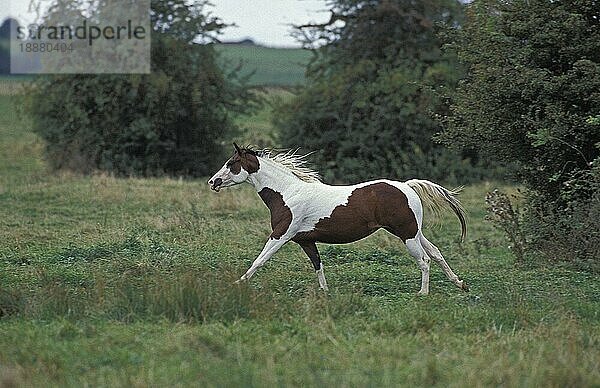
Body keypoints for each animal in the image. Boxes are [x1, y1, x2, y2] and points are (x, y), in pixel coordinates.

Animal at [209, 143, 472, 294]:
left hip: (406, 234)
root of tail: (407, 186)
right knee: (436, 252)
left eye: (231, 163)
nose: (213, 182)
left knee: (425, 260)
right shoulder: (305, 240)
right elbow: (318, 265)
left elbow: (260, 260)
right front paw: (325, 292)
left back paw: (423, 294)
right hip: (414, 232)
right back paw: (460, 284)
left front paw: (237, 284)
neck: (287, 193)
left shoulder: (281, 235)